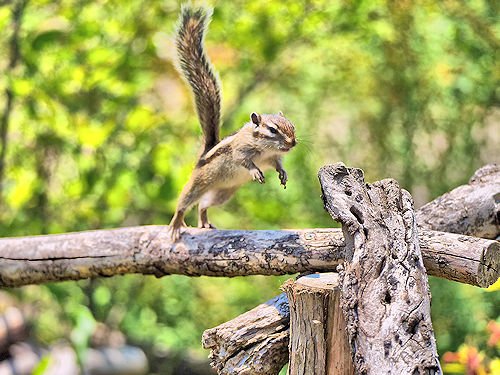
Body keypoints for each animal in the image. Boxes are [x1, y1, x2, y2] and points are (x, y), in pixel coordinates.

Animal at [170, 5, 298, 241]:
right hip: (199, 183)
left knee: (203, 205)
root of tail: (203, 153)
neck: (264, 148)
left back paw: (204, 222)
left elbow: (277, 164)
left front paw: (283, 174)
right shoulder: (240, 150)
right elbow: (244, 161)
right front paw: (255, 171)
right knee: (185, 202)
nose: (293, 143)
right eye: (272, 129)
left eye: (291, 126)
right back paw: (176, 223)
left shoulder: (272, 158)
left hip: (223, 193)